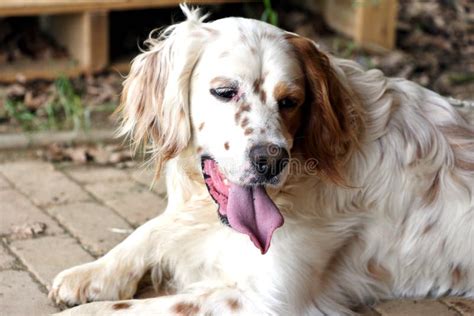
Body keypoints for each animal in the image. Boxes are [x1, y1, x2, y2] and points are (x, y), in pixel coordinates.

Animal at [49, 4, 474, 316]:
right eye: (224, 91)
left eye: (291, 101)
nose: (270, 160)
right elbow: (151, 229)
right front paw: (92, 273)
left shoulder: (267, 298)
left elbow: (133, 308)